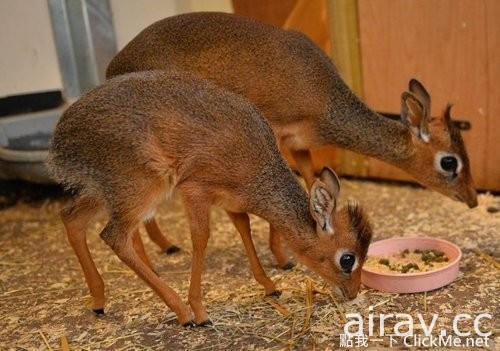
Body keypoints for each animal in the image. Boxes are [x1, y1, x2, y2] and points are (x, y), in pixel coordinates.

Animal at [47, 71, 374, 328]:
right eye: (347, 258)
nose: (354, 292)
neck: (257, 168)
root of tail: (60, 140)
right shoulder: (195, 189)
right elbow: (201, 239)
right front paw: (200, 310)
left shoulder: (230, 202)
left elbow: (244, 229)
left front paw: (269, 286)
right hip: (142, 187)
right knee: (113, 236)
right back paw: (181, 312)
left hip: (106, 192)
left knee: (71, 218)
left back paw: (98, 300)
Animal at [106, 12, 476, 268]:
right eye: (449, 162)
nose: (473, 199)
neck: (324, 100)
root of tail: (114, 65)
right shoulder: (277, 133)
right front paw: (283, 258)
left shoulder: (301, 144)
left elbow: (312, 182)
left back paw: (166, 246)